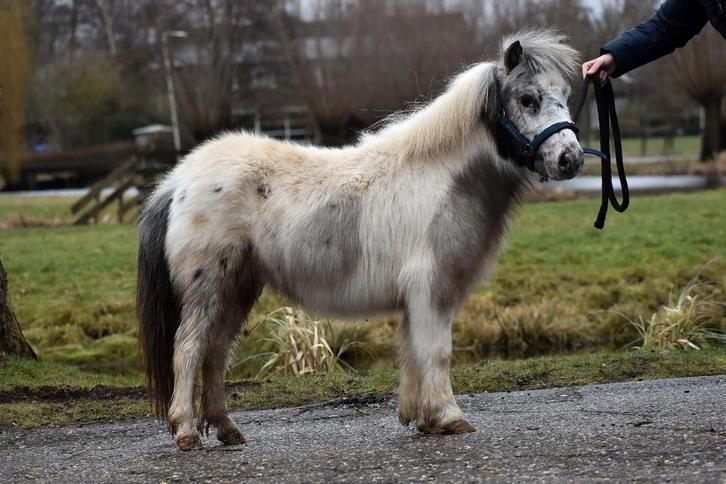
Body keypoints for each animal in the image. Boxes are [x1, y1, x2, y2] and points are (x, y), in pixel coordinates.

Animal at [137, 29, 583, 451]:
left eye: (565, 95)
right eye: (527, 99)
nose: (571, 159)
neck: (443, 179)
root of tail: (177, 180)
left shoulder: (419, 297)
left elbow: (412, 352)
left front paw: (420, 418)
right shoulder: (431, 288)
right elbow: (436, 351)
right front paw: (449, 417)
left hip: (237, 288)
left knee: (216, 352)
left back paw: (227, 429)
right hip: (208, 288)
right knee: (189, 349)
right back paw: (186, 432)